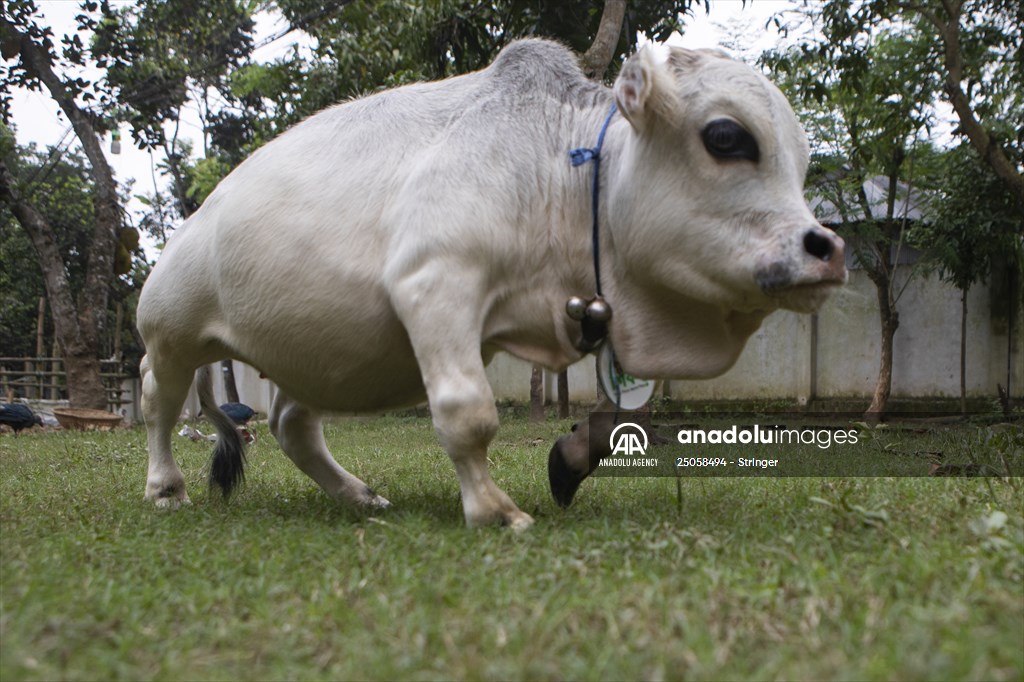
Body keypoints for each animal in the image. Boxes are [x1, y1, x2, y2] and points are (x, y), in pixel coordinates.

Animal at [136, 39, 846, 529]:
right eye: (726, 136)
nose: (828, 250)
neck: (559, 166)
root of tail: (199, 214)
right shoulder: (435, 282)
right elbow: (466, 413)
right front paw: (494, 510)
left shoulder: (594, 314)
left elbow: (621, 414)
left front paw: (570, 460)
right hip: (170, 333)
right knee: (158, 401)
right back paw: (165, 488)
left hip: (308, 350)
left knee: (291, 424)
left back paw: (359, 495)